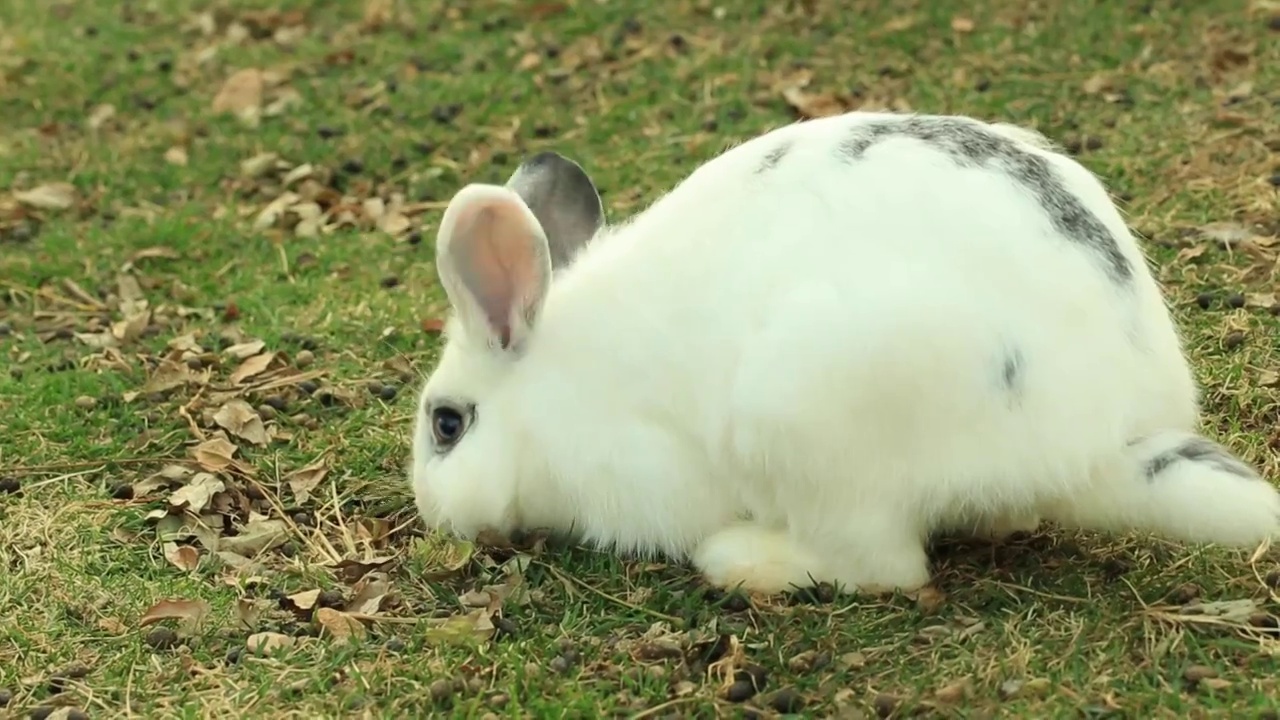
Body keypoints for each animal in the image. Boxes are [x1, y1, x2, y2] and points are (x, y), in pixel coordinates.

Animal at [407, 110, 1280, 594]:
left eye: (447, 424)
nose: (433, 510)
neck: (555, 381)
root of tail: (1099, 448)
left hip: (803, 417)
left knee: (887, 567)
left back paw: (742, 560)